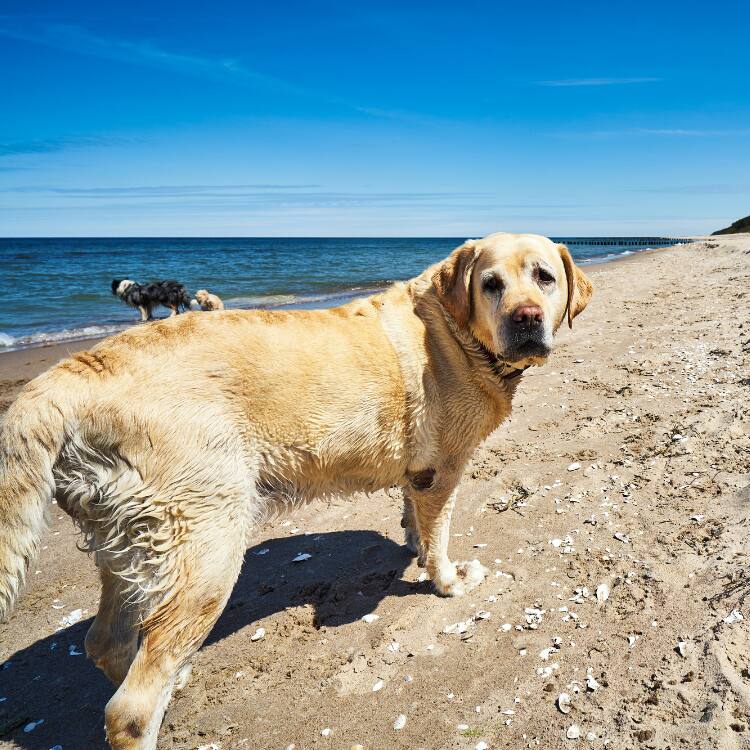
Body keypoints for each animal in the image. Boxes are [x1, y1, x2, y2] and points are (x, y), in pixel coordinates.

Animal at [0, 232, 592, 748]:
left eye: (543, 277)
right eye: (491, 284)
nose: (526, 319)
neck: (454, 331)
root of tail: (64, 377)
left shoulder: (419, 470)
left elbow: (416, 515)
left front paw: (413, 543)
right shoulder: (442, 468)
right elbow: (440, 534)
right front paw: (446, 579)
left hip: (126, 537)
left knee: (104, 642)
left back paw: (170, 675)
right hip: (205, 541)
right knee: (129, 709)